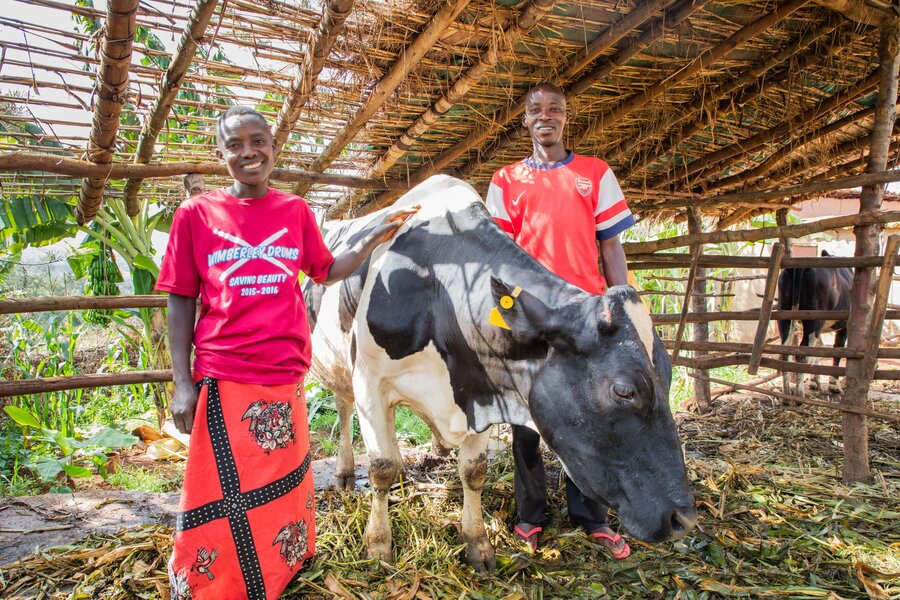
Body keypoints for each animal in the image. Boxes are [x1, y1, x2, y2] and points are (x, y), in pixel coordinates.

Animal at [304, 175, 696, 572]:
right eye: (623, 391)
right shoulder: (371, 382)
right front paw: (379, 546)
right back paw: (345, 472)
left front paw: (478, 544)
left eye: (669, 376)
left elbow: (474, 471)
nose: (684, 519)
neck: (437, 293)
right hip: (337, 369)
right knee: (343, 407)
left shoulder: (482, 385)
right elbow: (381, 467)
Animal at [772, 251, 852, 396]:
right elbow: (838, 349)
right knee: (801, 354)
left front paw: (815, 381)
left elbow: (819, 347)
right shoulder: (845, 325)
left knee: (785, 354)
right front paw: (834, 385)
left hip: (783, 314)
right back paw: (799, 394)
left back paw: (786, 393)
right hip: (814, 320)